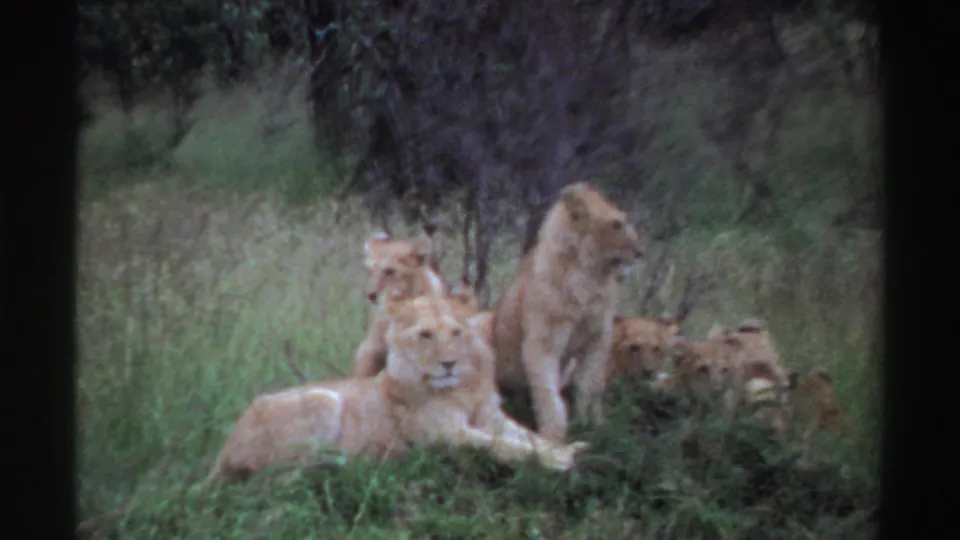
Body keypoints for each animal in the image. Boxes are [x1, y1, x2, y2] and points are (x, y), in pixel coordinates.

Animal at [205, 295, 588, 485]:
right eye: (425, 335)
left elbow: (529, 438)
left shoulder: (491, 417)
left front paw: (567, 448)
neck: (461, 388)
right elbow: (503, 446)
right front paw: (561, 461)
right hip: (321, 399)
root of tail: (223, 451)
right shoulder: (443, 434)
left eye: (456, 332)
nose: (448, 363)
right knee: (283, 475)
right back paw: (353, 462)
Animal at [491, 182, 644, 441]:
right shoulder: (543, 340)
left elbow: (591, 384)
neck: (590, 278)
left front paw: (592, 424)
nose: (640, 251)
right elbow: (547, 391)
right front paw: (554, 434)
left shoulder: (599, 337)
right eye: (617, 224)